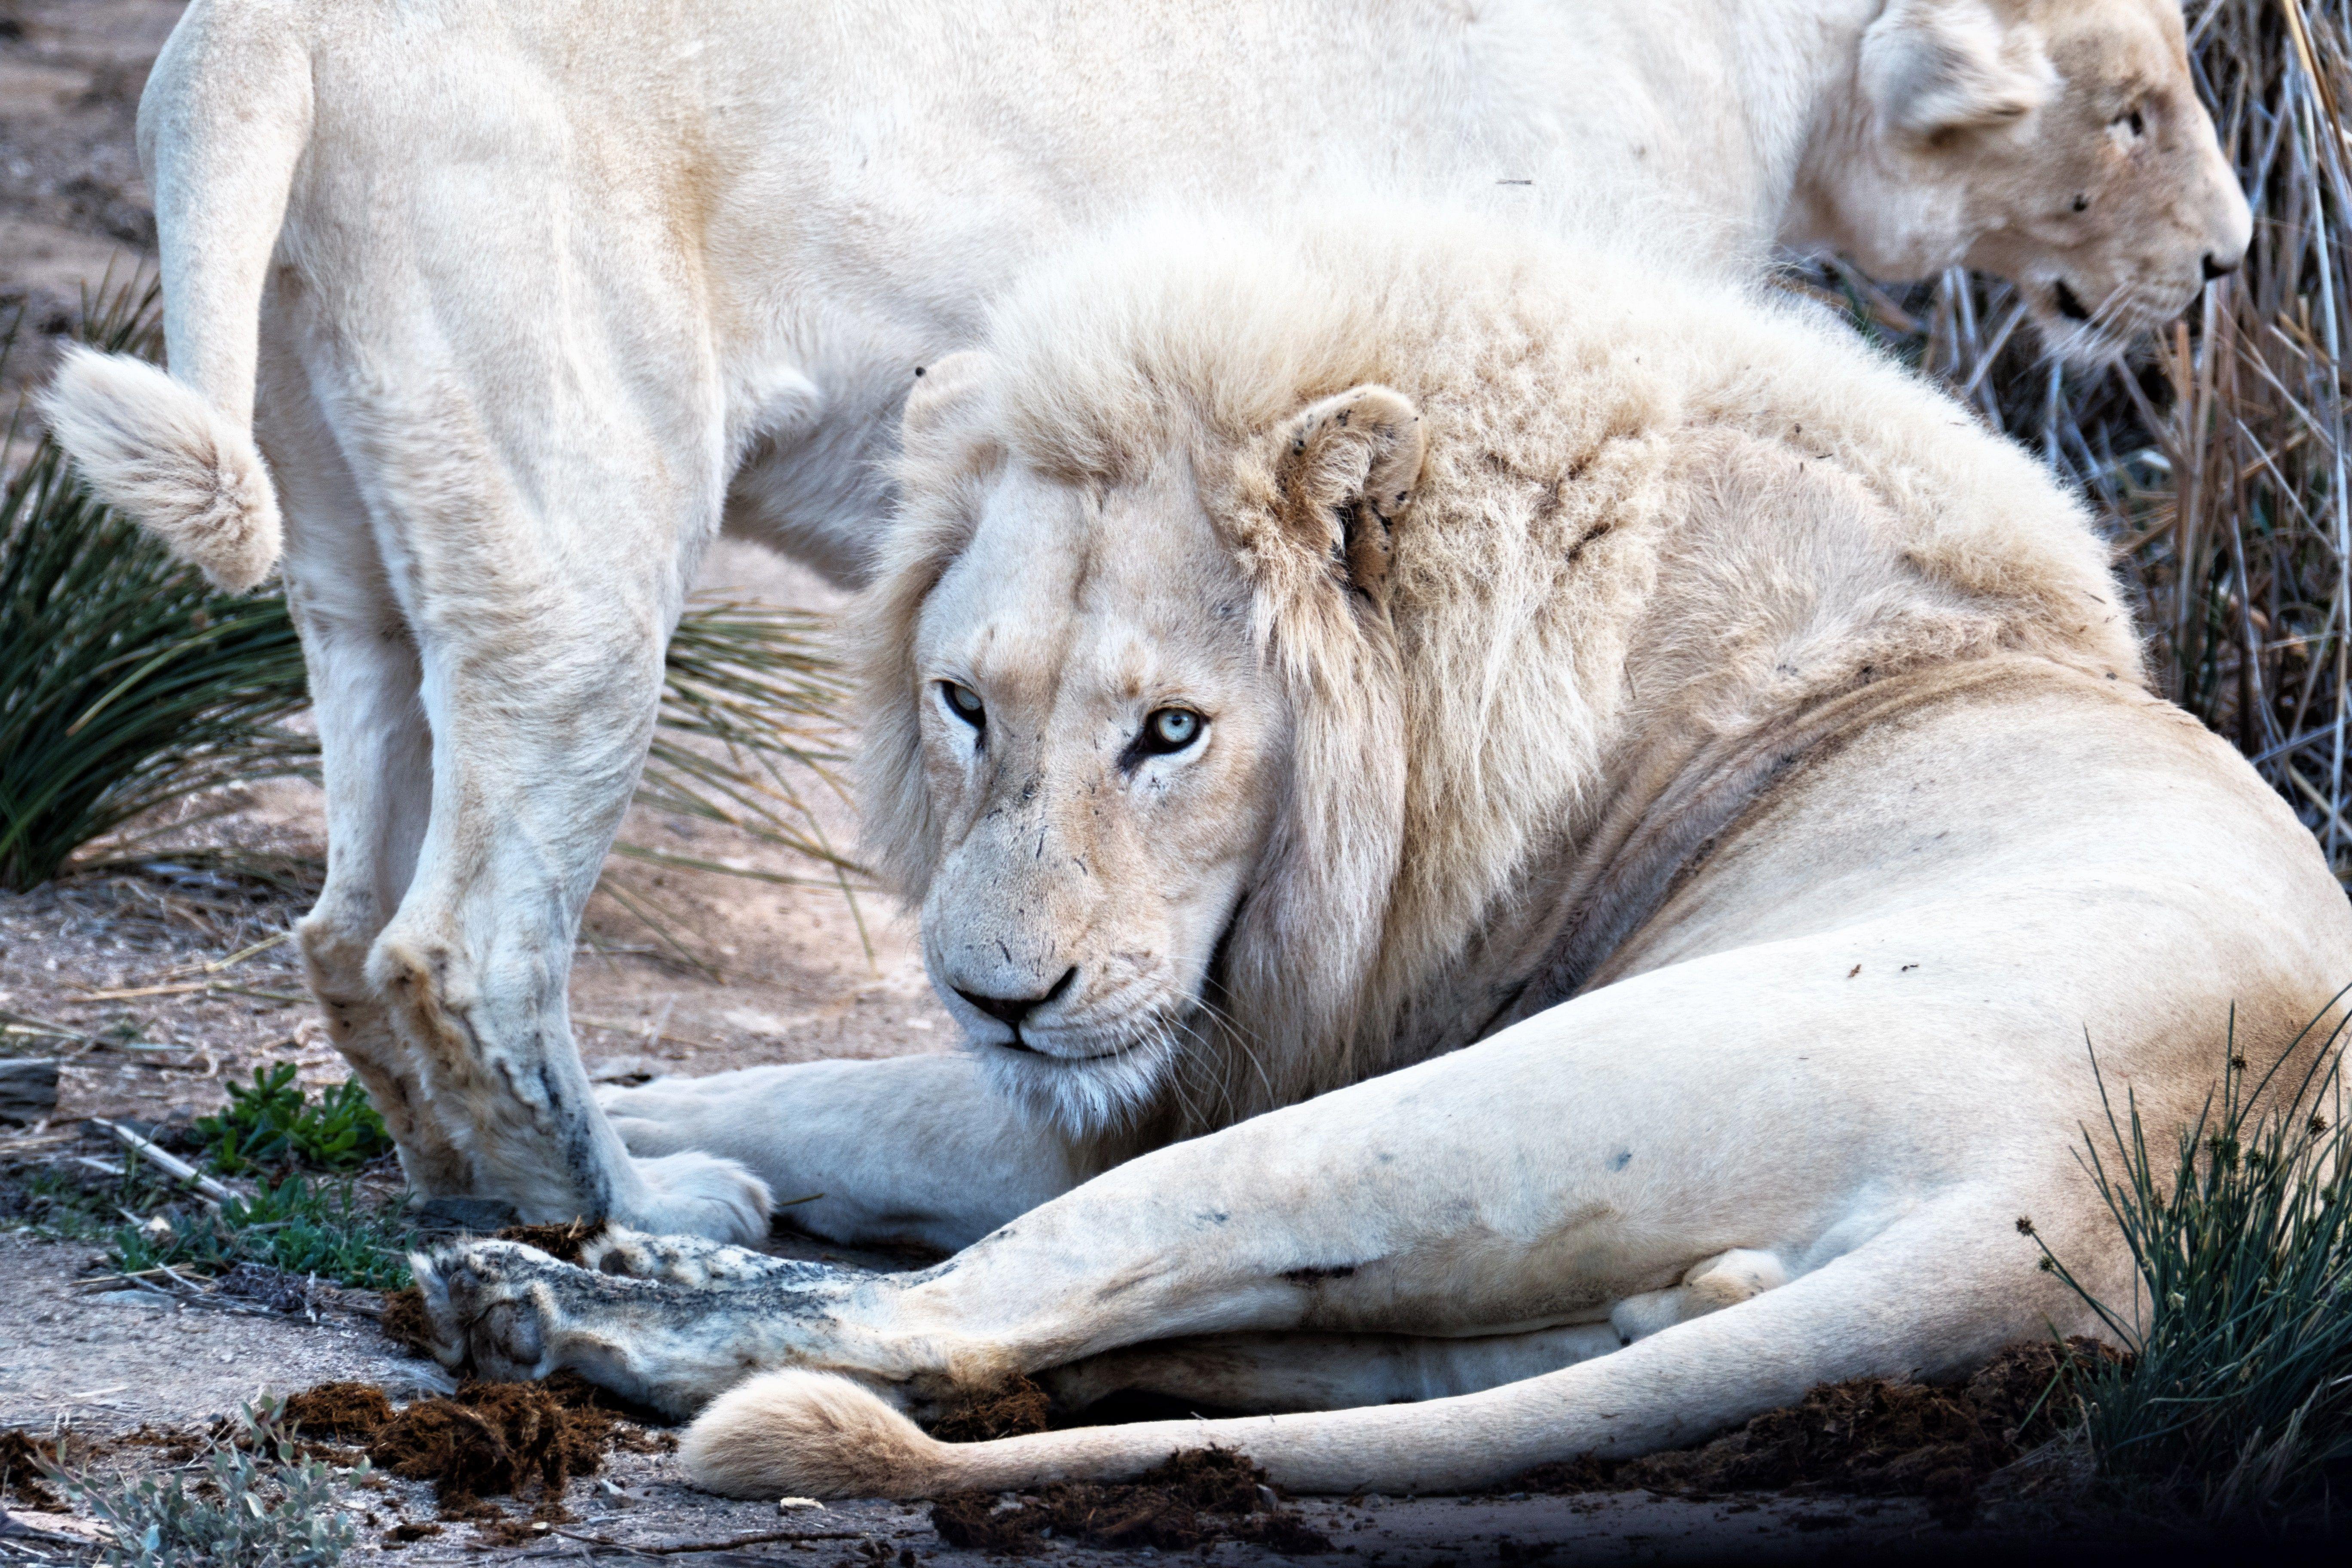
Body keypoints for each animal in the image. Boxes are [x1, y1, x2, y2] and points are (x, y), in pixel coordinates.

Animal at [45, 0, 2248, 1243]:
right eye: (2139, 108)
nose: (2235, 260)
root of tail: (242, 33)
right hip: (583, 512)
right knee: (458, 942)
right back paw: (632, 1213)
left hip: (368, 538)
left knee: (345, 917)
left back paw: (466, 1187)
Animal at [410, 209, 2349, 1502]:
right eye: (964, 703)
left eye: (1170, 731)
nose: (1000, 994)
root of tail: (2090, 1196)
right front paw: (609, 1130)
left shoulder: (1192, 1059)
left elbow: (842, 1090)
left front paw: (608, 1148)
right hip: (1516, 1293)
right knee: (1149, 1352)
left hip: (1459, 1103)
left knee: (974, 1313)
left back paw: (557, 1304)